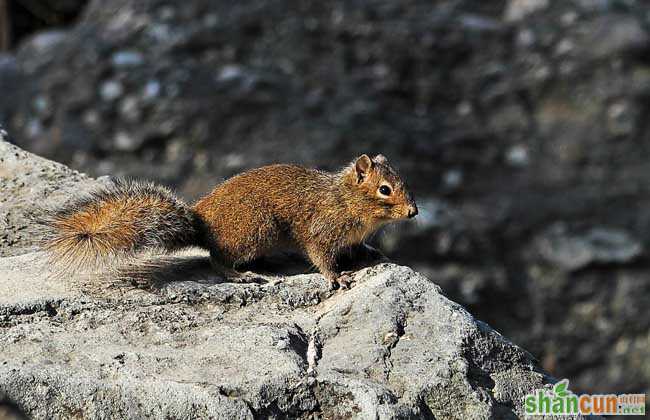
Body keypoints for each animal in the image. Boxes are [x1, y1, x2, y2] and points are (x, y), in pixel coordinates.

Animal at [41, 154, 416, 288]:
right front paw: (337, 277)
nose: (414, 212)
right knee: (216, 259)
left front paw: (370, 253)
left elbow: (357, 247)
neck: (345, 200)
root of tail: (201, 223)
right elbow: (322, 258)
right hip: (254, 230)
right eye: (384, 190)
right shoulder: (321, 231)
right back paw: (242, 275)